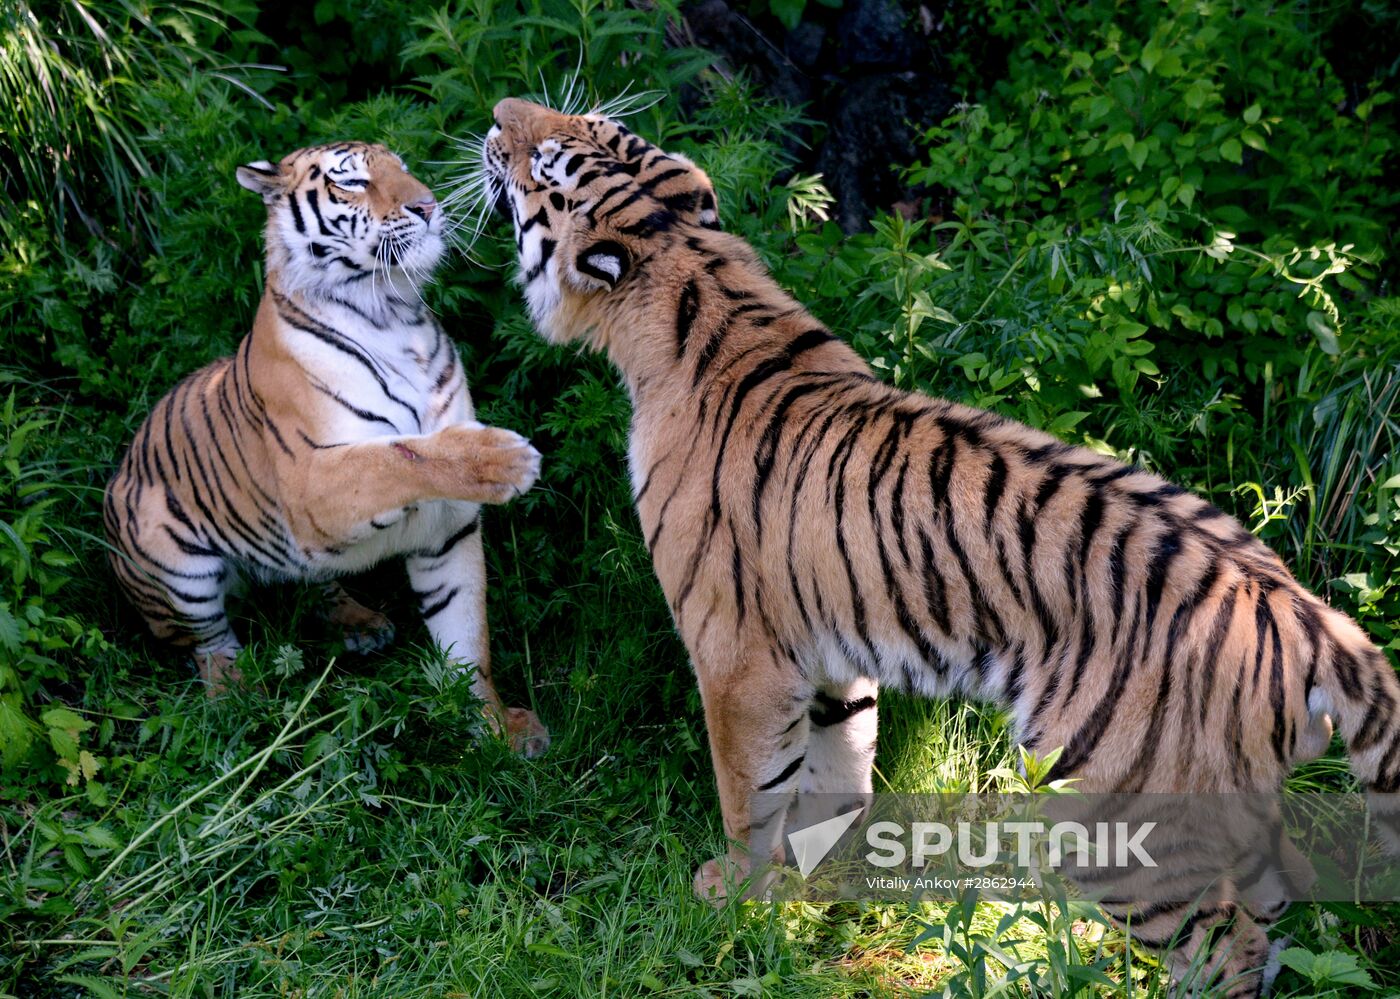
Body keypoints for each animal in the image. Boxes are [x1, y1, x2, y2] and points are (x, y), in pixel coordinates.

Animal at [103, 142, 548, 755]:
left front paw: (497, 729)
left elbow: (466, 642)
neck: (391, 311)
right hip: (174, 564)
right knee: (208, 645)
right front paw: (504, 458)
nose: (428, 206)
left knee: (309, 585)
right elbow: (396, 455)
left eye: (402, 168)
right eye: (354, 182)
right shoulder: (313, 483)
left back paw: (360, 624)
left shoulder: (449, 528)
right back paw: (239, 700)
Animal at [473, 99, 1400, 990]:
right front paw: (809, 886)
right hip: (1227, 805)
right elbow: (833, 772)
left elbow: (749, 790)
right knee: (1278, 901)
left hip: (1119, 809)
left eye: (544, 162)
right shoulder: (829, 651)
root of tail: (1298, 610)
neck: (695, 269)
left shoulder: (736, 656)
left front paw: (731, 894)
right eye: (596, 126)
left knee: (1227, 944)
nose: (497, 113)